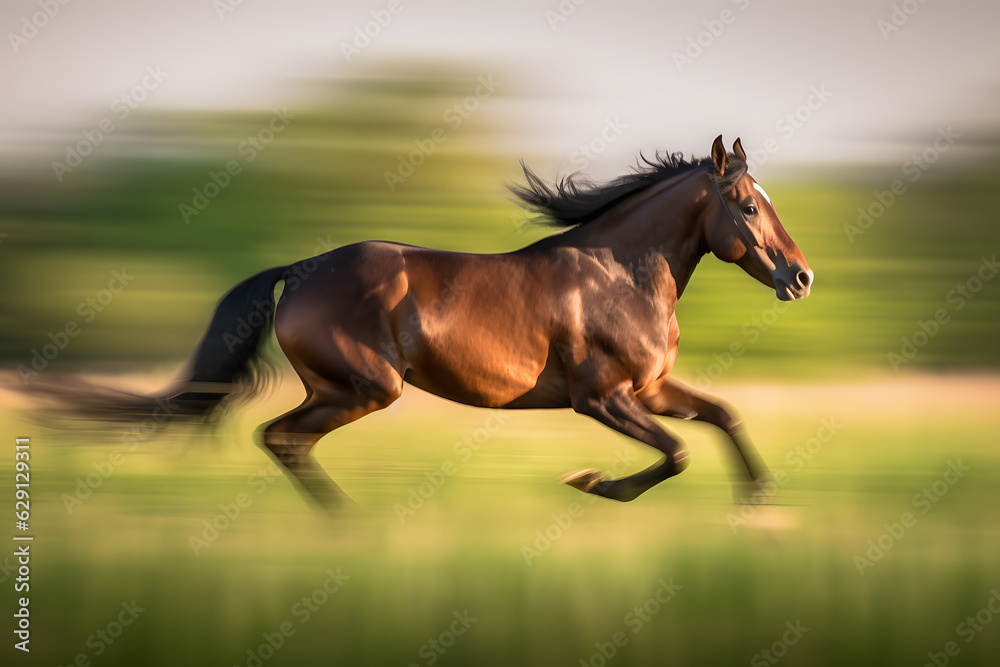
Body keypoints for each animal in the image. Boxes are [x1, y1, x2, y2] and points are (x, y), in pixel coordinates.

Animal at [37, 135, 812, 508]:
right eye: (747, 204)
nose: (801, 277)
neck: (617, 274)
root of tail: (303, 269)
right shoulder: (601, 398)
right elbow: (675, 453)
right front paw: (591, 482)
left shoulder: (649, 389)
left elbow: (723, 416)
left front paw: (762, 504)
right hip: (365, 387)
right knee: (279, 437)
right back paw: (352, 525)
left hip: (348, 389)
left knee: (282, 440)